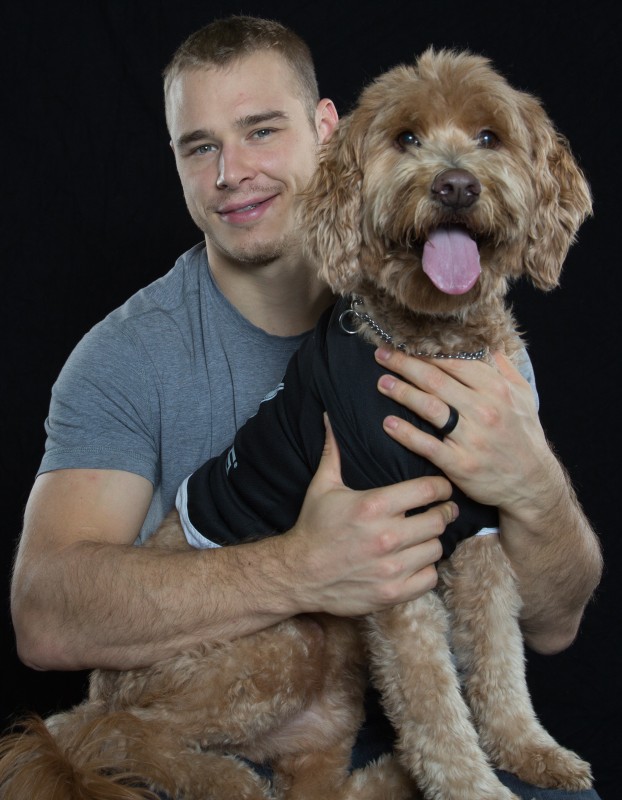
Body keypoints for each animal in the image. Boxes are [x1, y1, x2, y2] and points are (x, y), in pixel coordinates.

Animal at [0, 48, 596, 800]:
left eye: (490, 136)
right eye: (406, 138)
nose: (456, 186)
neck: (428, 339)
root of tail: (104, 685)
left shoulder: (484, 526)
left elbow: (500, 658)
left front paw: (528, 749)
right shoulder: (394, 555)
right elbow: (432, 695)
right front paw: (474, 787)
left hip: (334, 666)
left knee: (313, 775)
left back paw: (381, 775)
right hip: (276, 640)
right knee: (113, 732)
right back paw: (224, 780)